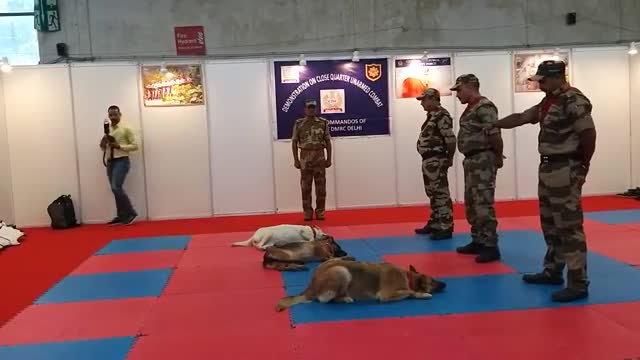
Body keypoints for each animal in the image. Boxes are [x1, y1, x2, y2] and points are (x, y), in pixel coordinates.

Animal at [274, 258, 444, 310]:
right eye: (433, 280)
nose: (445, 284)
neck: (408, 277)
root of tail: (311, 284)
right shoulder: (386, 295)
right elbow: (409, 292)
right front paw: (422, 294)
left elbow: (408, 291)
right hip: (342, 271)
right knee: (325, 299)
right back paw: (345, 298)